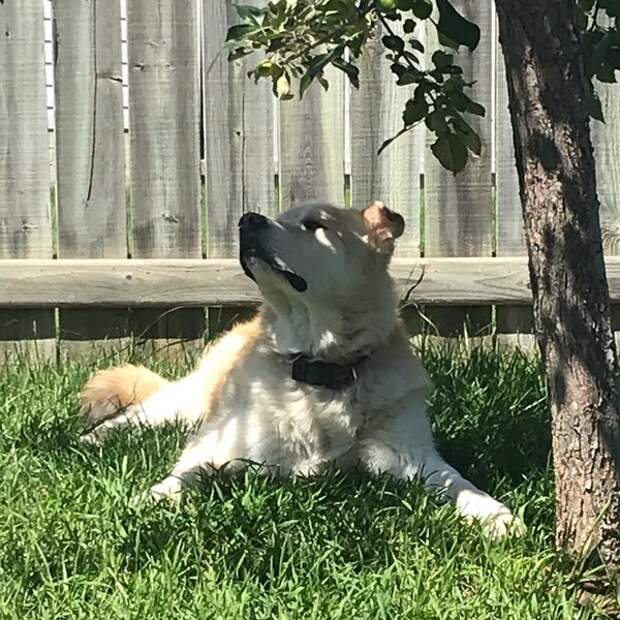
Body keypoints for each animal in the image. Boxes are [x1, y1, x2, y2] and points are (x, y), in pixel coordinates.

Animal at [80, 201, 520, 536]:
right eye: (279, 215)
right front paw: (146, 500)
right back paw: (93, 437)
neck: (320, 369)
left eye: (314, 225)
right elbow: (184, 475)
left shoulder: (412, 455)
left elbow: (458, 483)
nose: (247, 219)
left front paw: (494, 514)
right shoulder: (218, 446)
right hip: (188, 402)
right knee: (139, 411)